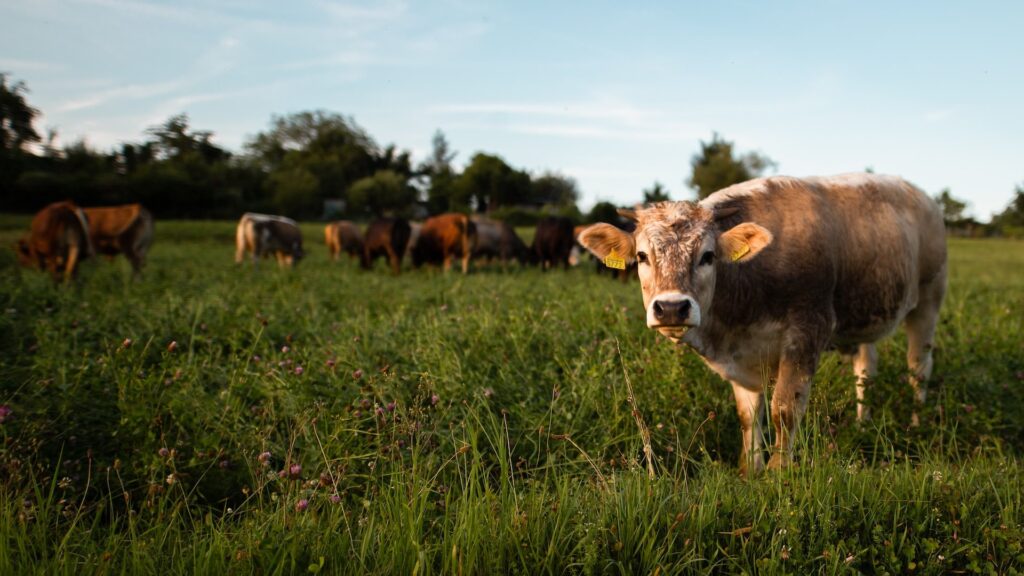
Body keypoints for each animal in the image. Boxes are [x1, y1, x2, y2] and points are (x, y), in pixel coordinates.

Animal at [581, 171, 946, 475]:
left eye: (708, 256)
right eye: (642, 256)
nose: (672, 308)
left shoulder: (807, 329)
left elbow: (784, 408)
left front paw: (776, 472)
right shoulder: (741, 355)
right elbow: (748, 414)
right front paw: (750, 469)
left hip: (928, 301)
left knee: (919, 367)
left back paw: (918, 423)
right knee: (866, 369)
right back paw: (862, 423)